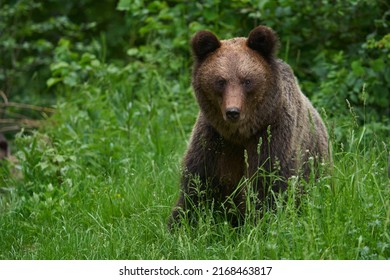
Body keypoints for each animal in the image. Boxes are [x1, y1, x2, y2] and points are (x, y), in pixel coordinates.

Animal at [169, 25, 330, 229]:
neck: (240, 134)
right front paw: (180, 225)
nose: (233, 111)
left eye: (247, 80)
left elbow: (268, 186)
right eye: (220, 81)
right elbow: (197, 189)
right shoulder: (213, 141)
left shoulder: (271, 135)